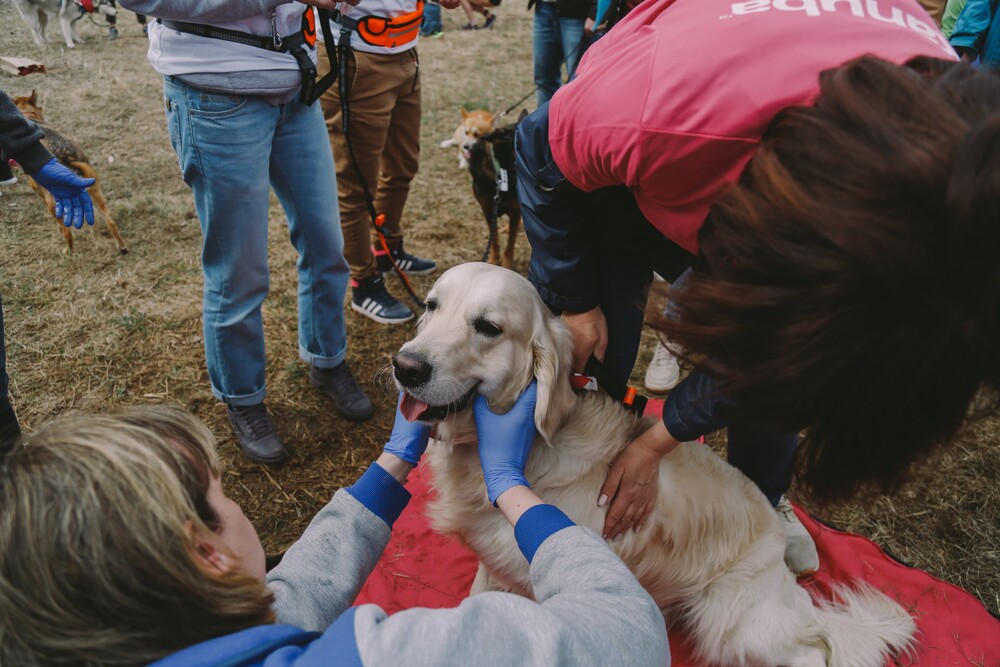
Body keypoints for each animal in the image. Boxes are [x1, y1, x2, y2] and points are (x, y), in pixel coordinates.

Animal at [12, 90, 127, 254]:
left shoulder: (37, 189)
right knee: (111, 223)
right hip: (96, 195)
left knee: (68, 233)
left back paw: (68, 251)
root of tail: (66, 159)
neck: (28, 116)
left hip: (55, 206)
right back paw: (122, 246)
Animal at [394, 262, 916, 667]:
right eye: (431, 306)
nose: (405, 367)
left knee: (814, 651)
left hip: (733, 624)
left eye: (489, 327)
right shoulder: (496, 563)